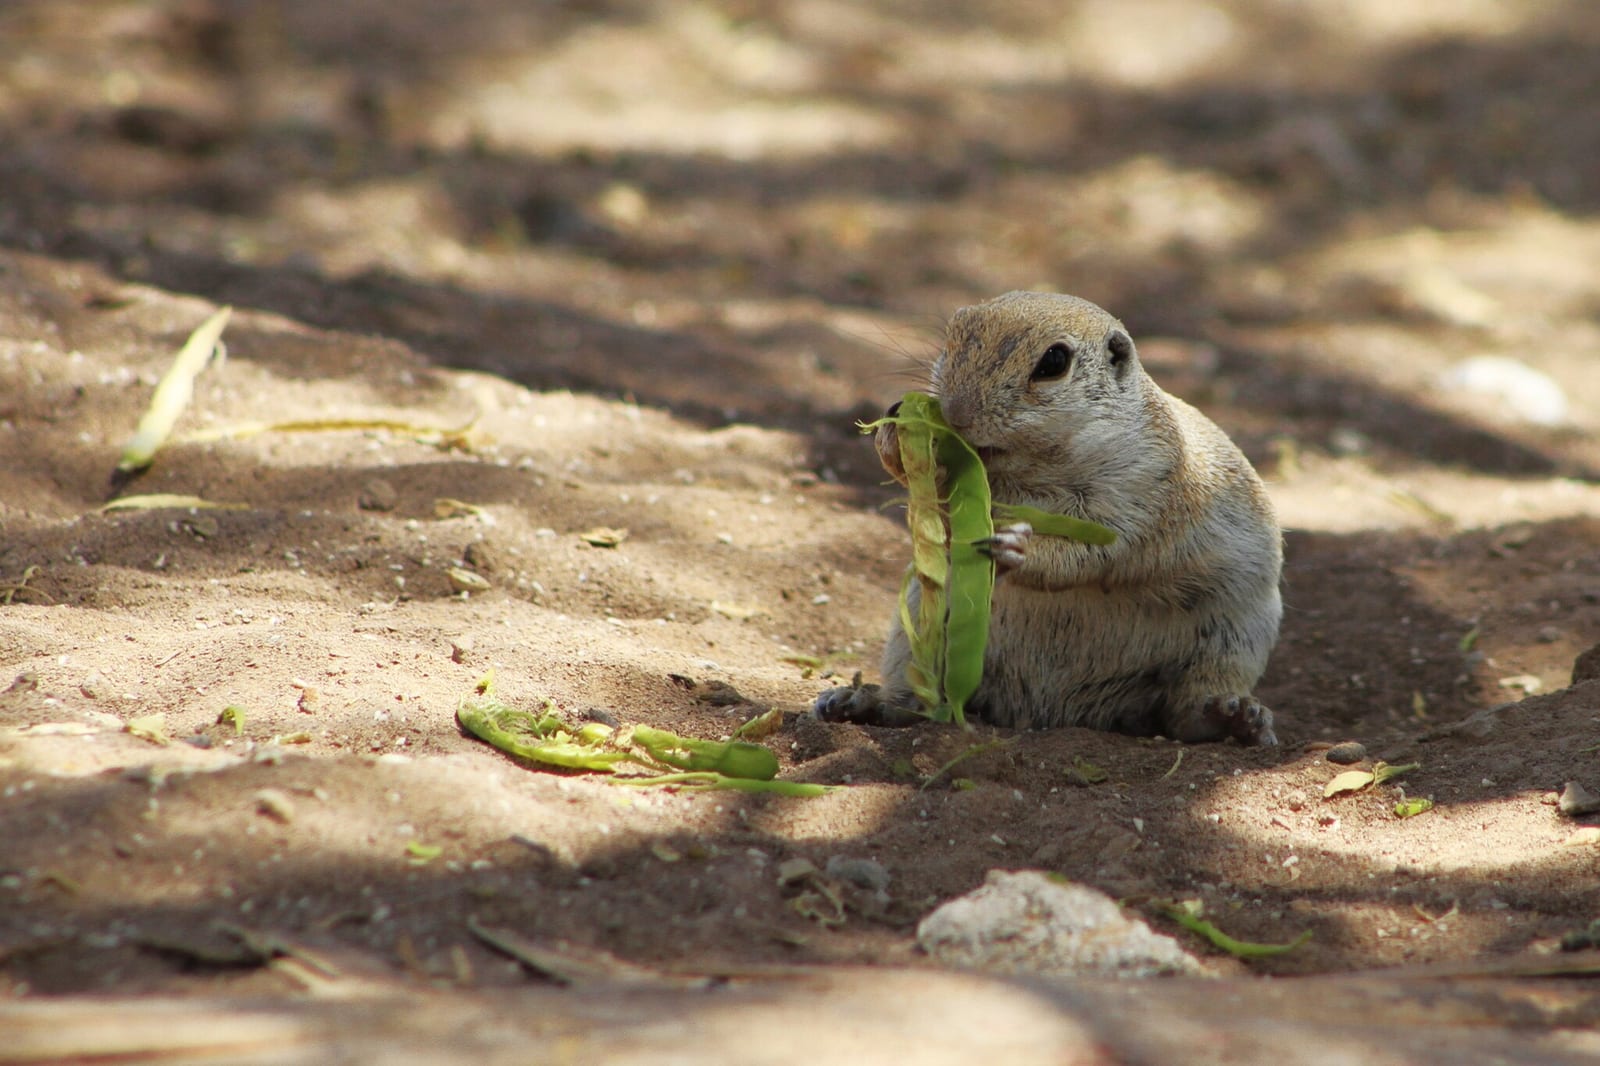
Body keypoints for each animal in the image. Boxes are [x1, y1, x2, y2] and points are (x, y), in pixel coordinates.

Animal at [815, 291, 1283, 745]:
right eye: (952, 338)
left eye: (1054, 362)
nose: (955, 414)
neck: (1033, 469)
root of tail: (1050, 711)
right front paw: (896, 431)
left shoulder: (1141, 492)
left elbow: (1095, 553)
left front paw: (1018, 548)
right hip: (915, 638)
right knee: (915, 703)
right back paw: (859, 701)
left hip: (1231, 645)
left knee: (1186, 713)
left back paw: (1234, 718)